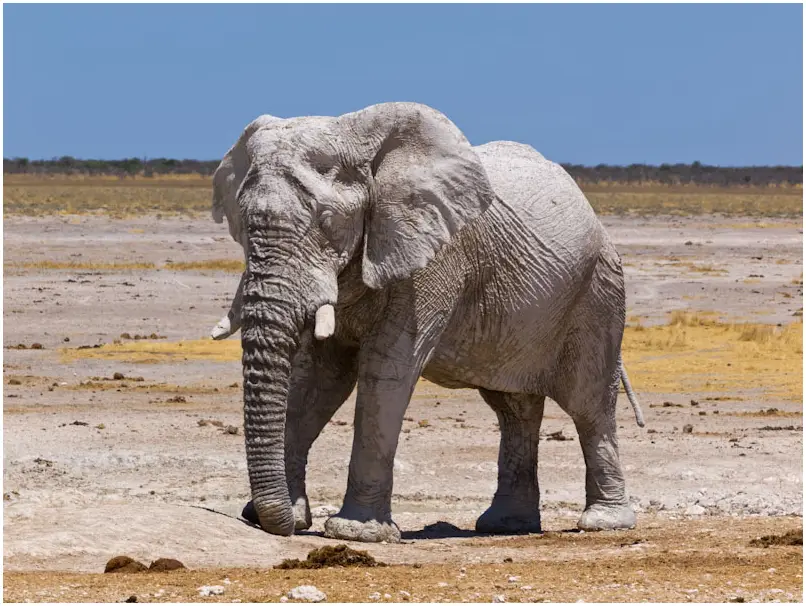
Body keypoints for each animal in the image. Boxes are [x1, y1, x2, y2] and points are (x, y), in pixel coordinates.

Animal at [208, 102, 645, 543]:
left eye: (327, 221)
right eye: (242, 223)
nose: (272, 524)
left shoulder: (433, 260)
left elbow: (387, 370)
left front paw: (356, 533)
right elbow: (319, 376)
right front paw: (283, 518)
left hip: (599, 292)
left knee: (589, 405)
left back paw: (603, 522)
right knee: (513, 409)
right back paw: (504, 525)